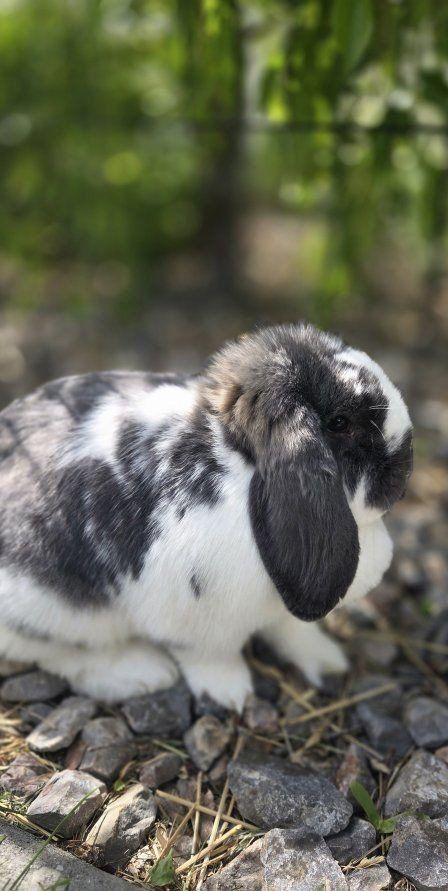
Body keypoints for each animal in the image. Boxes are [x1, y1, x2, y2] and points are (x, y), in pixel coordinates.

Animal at [0, 323, 412, 709]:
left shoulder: (281, 607)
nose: (404, 468)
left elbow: (292, 631)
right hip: (54, 613)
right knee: (63, 654)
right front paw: (232, 697)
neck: (240, 461)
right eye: (339, 422)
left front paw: (329, 663)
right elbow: (212, 659)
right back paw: (144, 673)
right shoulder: (199, 624)